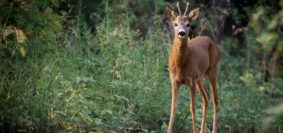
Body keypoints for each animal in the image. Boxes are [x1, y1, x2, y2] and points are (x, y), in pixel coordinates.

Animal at [164, 1, 222, 133]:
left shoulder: (191, 80)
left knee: (215, 100)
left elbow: (193, 108)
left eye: (188, 24)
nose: (181, 33)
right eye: (175, 24)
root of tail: (212, 41)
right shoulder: (174, 80)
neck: (180, 66)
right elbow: (173, 108)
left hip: (213, 70)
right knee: (206, 97)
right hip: (199, 77)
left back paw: (213, 130)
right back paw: (202, 130)